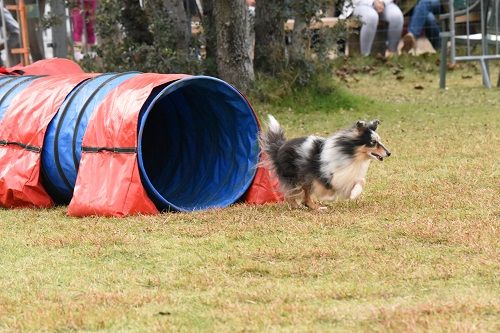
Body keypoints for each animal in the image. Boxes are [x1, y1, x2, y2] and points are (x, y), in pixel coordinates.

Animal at [260, 115, 392, 209]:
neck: (350, 154)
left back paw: (314, 207)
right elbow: (330, 188)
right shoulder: (324, 174)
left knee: (304, 196)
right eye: (373, 142)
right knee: (291, 193)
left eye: (379, 141)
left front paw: (354, 193)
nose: (389, 153)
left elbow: (361, 181)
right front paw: (329, 197)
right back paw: (298, 206)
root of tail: (279, 148)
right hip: (298, 175)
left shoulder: (348, 174)